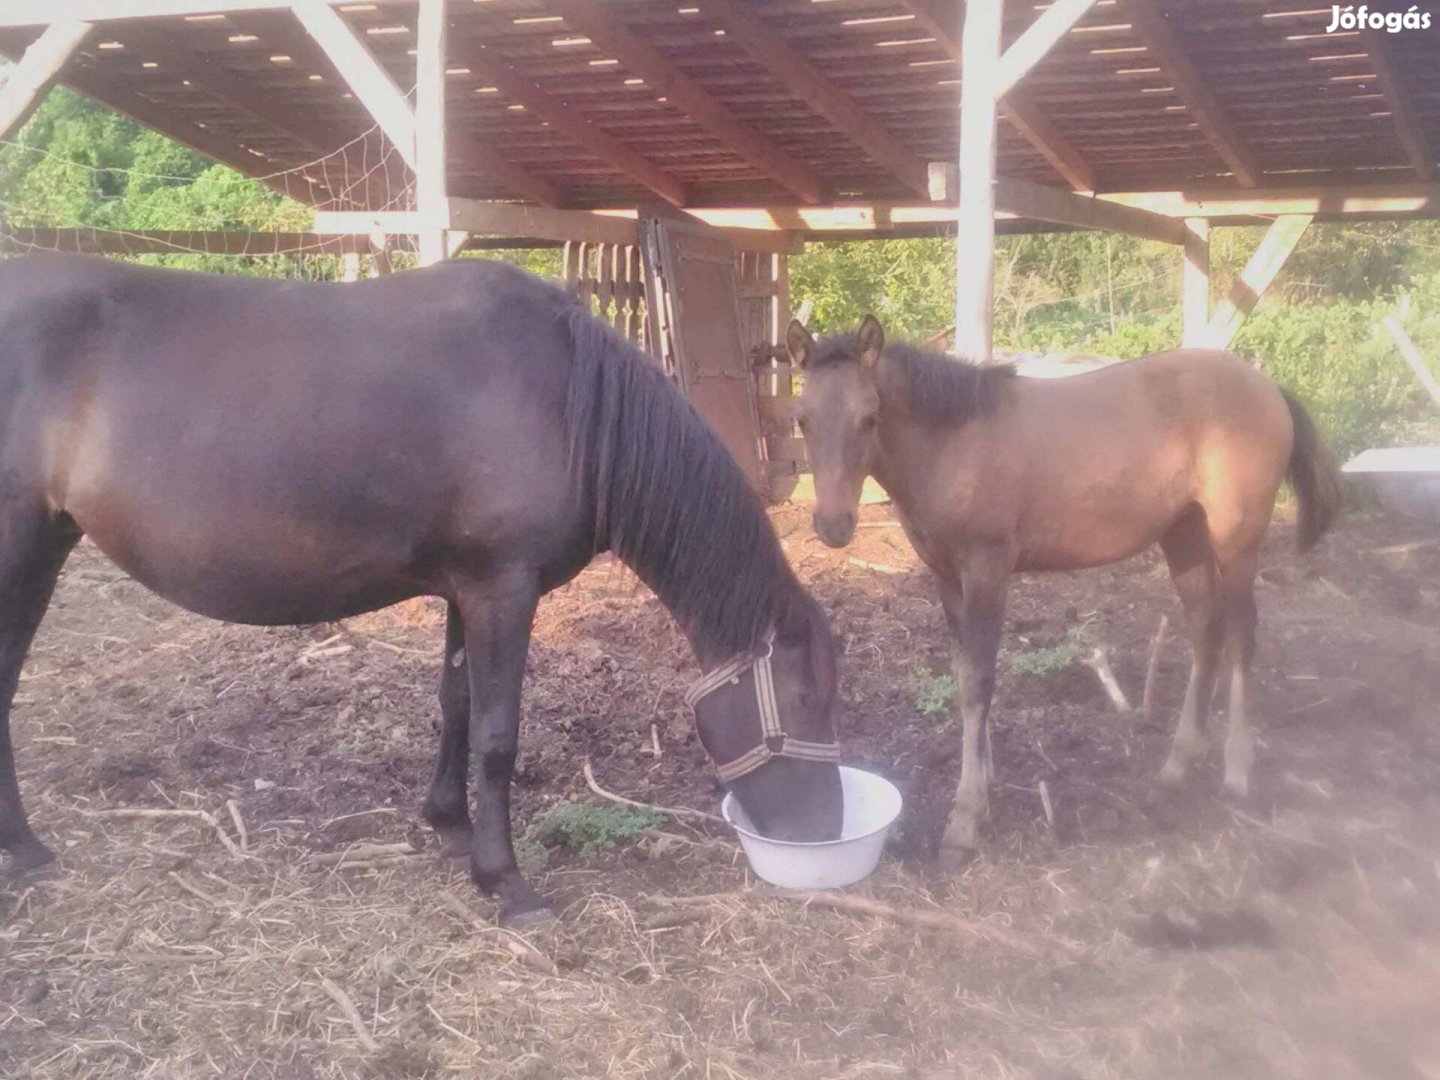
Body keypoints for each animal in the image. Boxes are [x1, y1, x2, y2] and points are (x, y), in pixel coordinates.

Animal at [0, 256, 840, 933]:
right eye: (805, 701)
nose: (824, 832)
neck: (569, 400)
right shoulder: (504, 588)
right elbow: (498, 735)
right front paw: (506, 883)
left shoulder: (465, 588)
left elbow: (455, 704)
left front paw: (450, 827)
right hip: (21, 552)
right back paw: (27, 849)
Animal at [789, 316, 1336, 869]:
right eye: (802, 420)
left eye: (870, 417)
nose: (833, 525)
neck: (952, 443)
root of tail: (1267, 386)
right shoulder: (947, 578)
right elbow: (965, 676)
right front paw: (983, 778)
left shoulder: (987, 570)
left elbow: (978, 682)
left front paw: (966, 819)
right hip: (1185, 536)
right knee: (1207, 629)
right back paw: (1177, 767)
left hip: (1236, 538)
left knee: (1241, 636)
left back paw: (1237, 771)